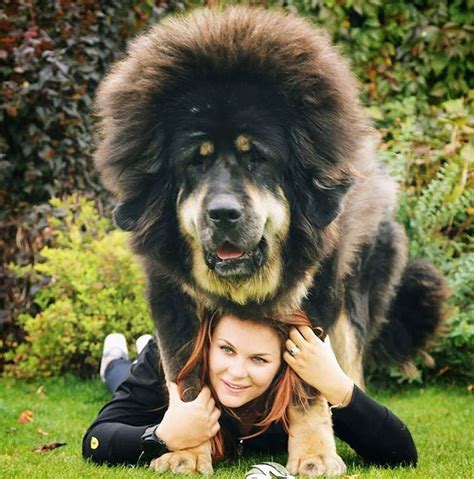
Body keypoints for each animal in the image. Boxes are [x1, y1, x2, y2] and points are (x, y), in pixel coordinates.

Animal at [93, 6, 448, 476]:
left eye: (256, 158)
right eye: (195, 162)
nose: (223, 212)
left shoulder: (315, 299)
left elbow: (307, 385)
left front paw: (315, 453)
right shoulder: (170, 295)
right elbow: (185, 380)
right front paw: (186, 449)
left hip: (354, 295)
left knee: (349, 364)